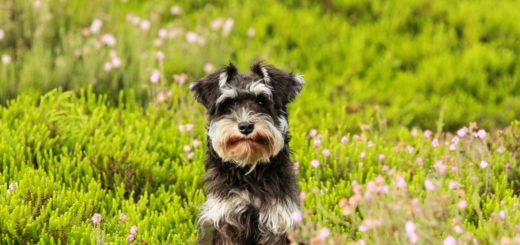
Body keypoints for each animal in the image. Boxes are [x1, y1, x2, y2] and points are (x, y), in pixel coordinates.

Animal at [191, 61, 304, 245]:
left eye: (261, 101)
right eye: (228, 104)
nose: (245, 126)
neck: (249, 172)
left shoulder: (277, 221)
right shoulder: (225, 219)